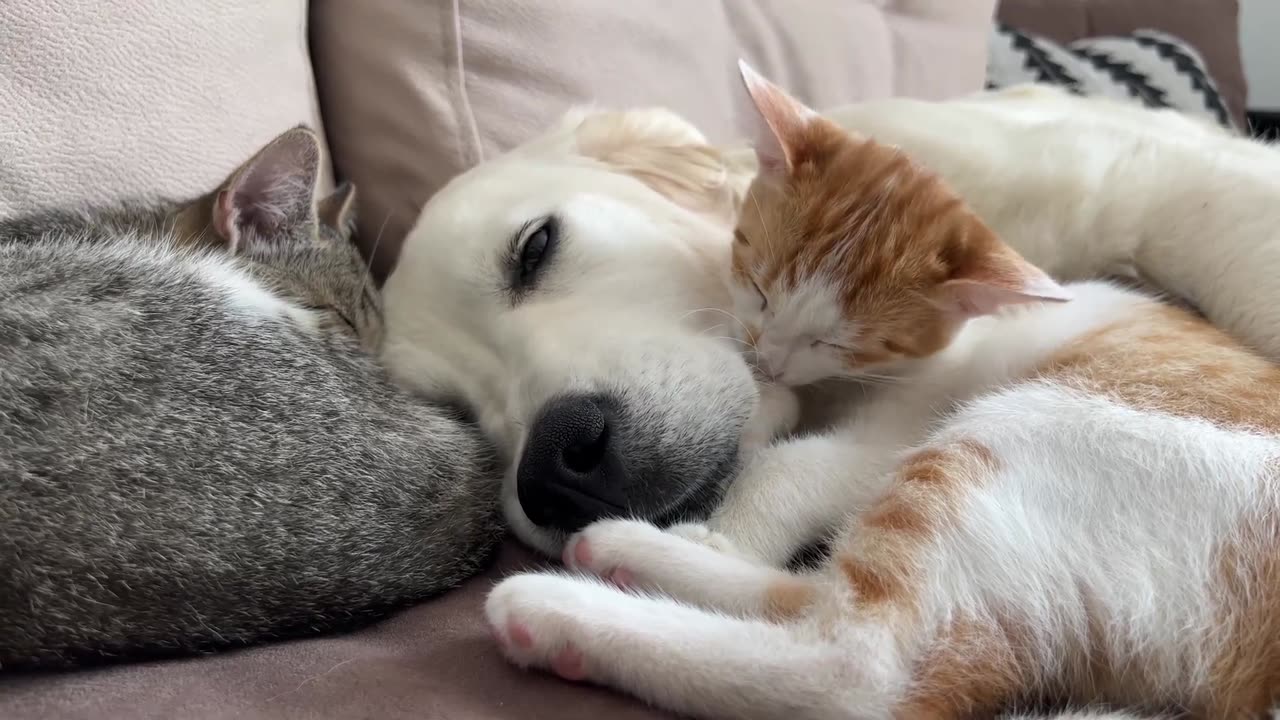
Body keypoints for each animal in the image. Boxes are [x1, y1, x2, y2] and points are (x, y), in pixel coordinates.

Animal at [481, 63, 1280, 717]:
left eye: (837, 338)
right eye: (756, 280)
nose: (767, 357)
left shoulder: (896, 427)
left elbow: (795, 462)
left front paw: (734, 523)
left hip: (1021, 432)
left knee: (855, 671)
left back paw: (556, 607)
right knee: (814, 599)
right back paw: (619, 550)